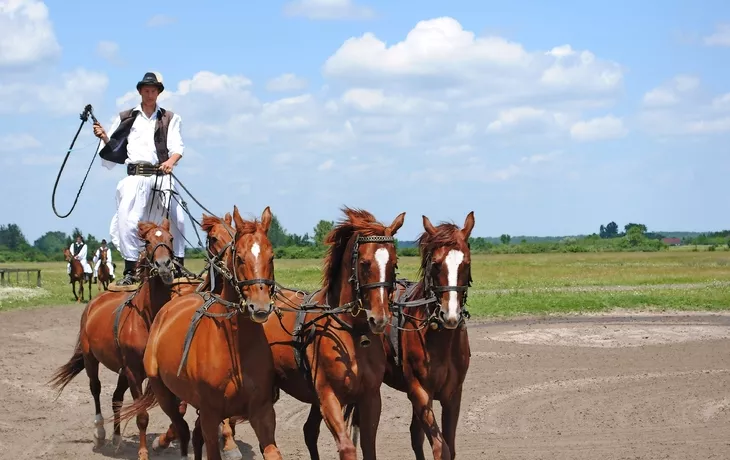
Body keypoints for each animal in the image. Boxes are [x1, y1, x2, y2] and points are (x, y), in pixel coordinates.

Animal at [49, 220, 178, 460]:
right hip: (92, 359)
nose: (164, 265)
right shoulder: (134, 372)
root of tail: (93, 304)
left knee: (116, 398)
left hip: (121, 371)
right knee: (96, 389)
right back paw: (100, 433)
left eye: (171, 238)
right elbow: (142, 416)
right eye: (147, 241)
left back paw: (117, 439)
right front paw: (143, 452)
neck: (147, 317)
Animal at [116, 207, 282, 460]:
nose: (260, 306)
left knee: (191, 433)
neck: (235, 346)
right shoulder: (210, 414)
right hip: (163, 392)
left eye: (271, 257)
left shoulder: (262, 413)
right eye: (240, 257)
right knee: (182, 428)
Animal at [264, 208, 406, 460]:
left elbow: (368, 445)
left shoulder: (370, 397)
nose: (379, 319)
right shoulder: (329, 396)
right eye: (365, 263)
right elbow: (347, 447)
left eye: (393, 263)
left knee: (309, 431)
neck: (353, 333)